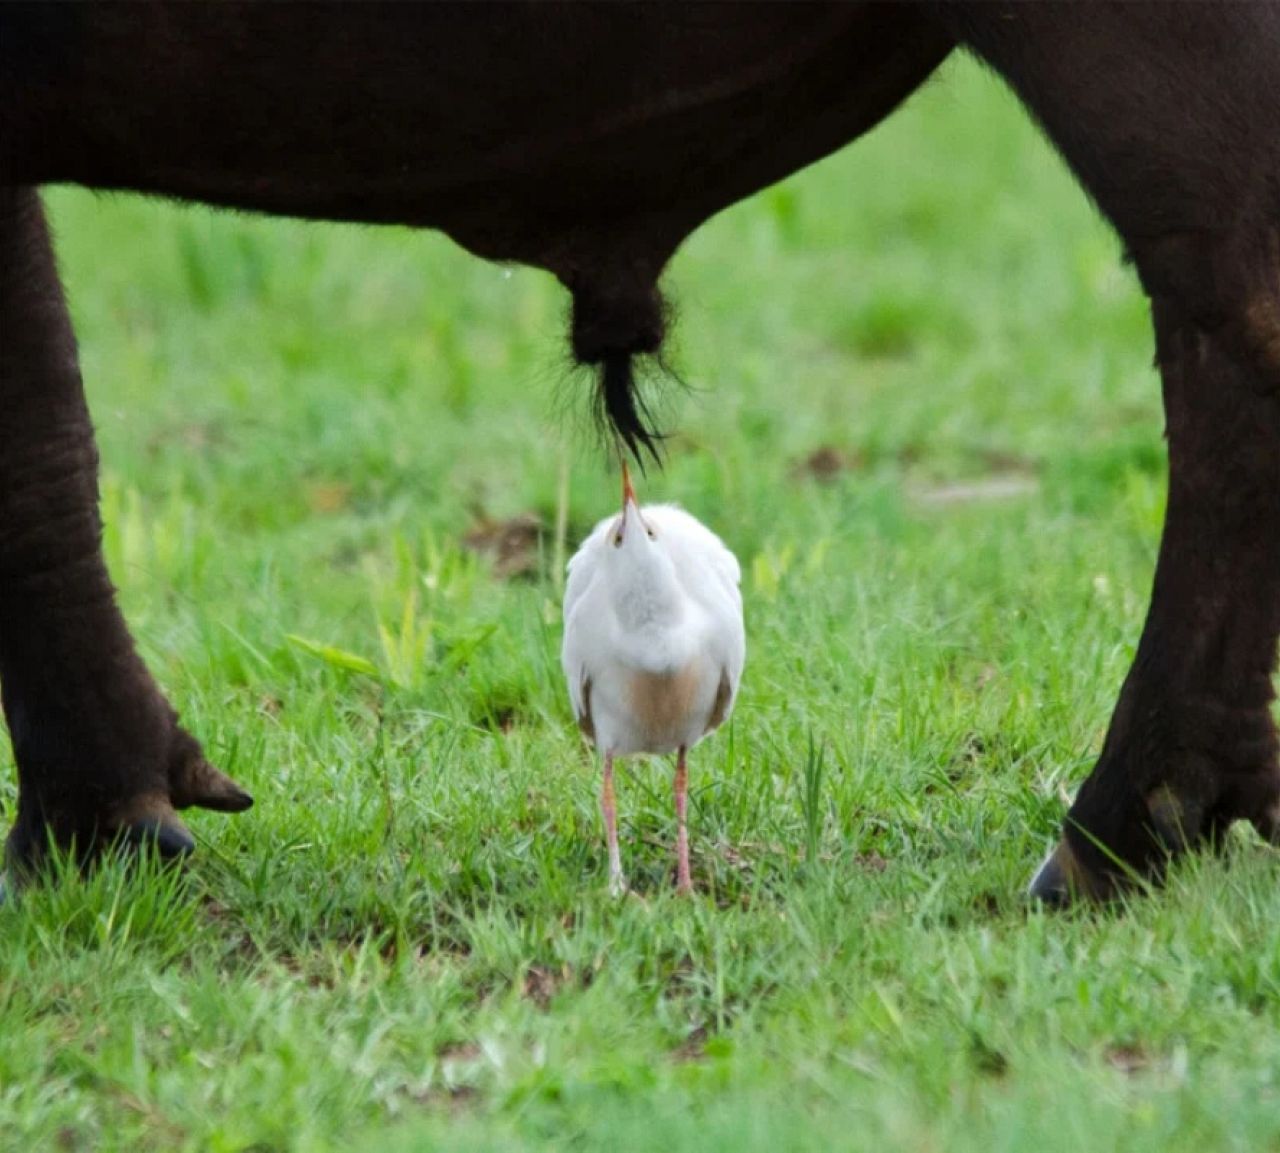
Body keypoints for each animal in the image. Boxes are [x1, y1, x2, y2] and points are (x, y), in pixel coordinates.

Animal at [2, 2, 1280, 900]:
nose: (623, 518)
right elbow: (45, 404)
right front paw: (100, 826)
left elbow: (33, 425)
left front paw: (85, 837)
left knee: (1230, 303)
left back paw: (1113, 835)